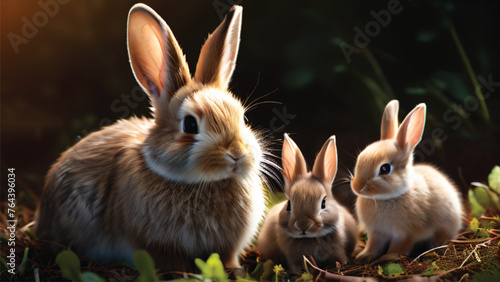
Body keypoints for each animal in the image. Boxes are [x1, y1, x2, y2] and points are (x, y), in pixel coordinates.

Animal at [36, 2, 268, 270]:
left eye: (243, 119)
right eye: (190, 124)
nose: (237, 154)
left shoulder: (226, 247)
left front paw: (233, 270)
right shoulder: (155, 245)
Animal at [258, 134, 360, 270]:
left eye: (323, 203)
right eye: (288, 204)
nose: (303, 225)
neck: (308, 238)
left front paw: (341, 264)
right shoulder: (292, 256)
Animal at [350, 100, 462, 262]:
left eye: (385, 169)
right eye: (359, 159)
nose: (357, 187)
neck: (386, 198)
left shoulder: (406, 233)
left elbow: (399, 247)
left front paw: (389, 258)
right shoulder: (377, 232)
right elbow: (373, 245)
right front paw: (364, 256)